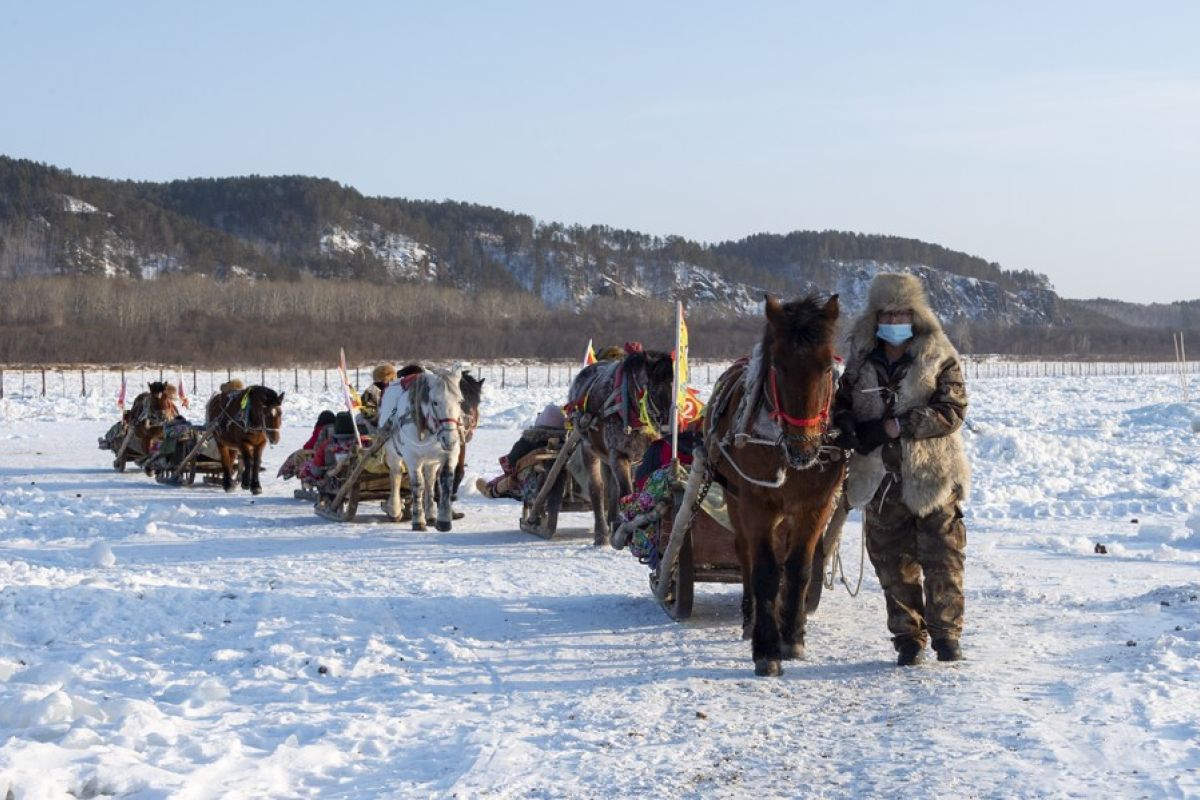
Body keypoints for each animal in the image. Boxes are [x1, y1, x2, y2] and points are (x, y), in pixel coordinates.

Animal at [379, 369, 463, 532]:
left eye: (459, 401)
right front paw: (418, 521)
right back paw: (395, 509)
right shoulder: (413, 458)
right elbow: (418, 485)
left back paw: (430, 515)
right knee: (396, 475)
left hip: (431, 460)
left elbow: (445, 482)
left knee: (430, 480)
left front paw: (443, 521)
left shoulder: (449, 455)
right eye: (435, 402)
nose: (450, 439)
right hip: (393, 453)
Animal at [568, 347, 681, 544]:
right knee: (597, 488)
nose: (671, 425)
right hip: (589, 448)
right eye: (653, 388)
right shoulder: (618, 454)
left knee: (612, 488)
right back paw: (601, 534)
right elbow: (626, 492)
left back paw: (613, 522)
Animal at [700, 293, 844, 676]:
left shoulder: (814, 505)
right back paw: (750, 619)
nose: (804, 448)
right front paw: (766, 648)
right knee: (745, 553)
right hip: (736, 499)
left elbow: (798, 568)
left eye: (827, 367)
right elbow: (764, 570)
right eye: (778, 366)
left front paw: (792, 635)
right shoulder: (756, 503)